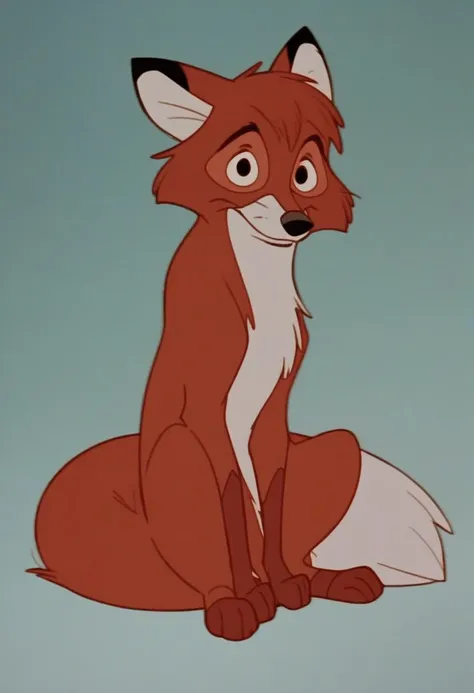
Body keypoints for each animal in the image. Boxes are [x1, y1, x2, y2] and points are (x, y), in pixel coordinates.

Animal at [27, 26, 452, 642]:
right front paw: (244, 599)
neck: (260, 288)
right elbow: (231, 507)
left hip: (339, 446)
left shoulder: (273, 411)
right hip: (179, 455)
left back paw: (321, 581)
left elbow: (270, 504)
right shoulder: (207, 415)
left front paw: (285, 586)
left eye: (304, 172)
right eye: (244, 167)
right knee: (200, 573)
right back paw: (231, 601)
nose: (296, 221)